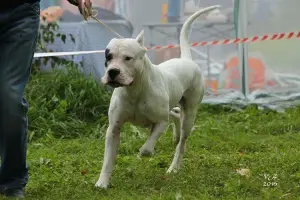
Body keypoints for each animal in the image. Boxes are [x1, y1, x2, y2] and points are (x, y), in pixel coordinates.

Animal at [96, 5, 220, 189]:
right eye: (108, 57)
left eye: (128, 58)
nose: (112, 72)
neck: (135, 90)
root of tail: (186, 59)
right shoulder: (114, 128)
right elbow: (107, 160)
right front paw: (102, 183)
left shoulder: (160, 122)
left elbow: (148, 147)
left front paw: (143, 152)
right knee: (175, 113)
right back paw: (175, 136)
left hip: (189, 115)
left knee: (182, 143)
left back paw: (174, 166)